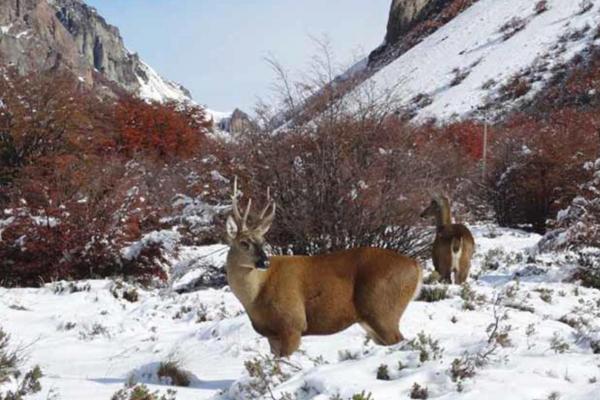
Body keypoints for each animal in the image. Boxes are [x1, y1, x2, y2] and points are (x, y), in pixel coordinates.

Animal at [223, 178, 424, 356]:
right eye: (244, 243)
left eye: (263, 241)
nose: (264, 262)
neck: (256, 295)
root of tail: (416, 266)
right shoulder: (271, 335)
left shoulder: (292, 323)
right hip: (371, 320)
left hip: (383, 309)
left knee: (400, 340)